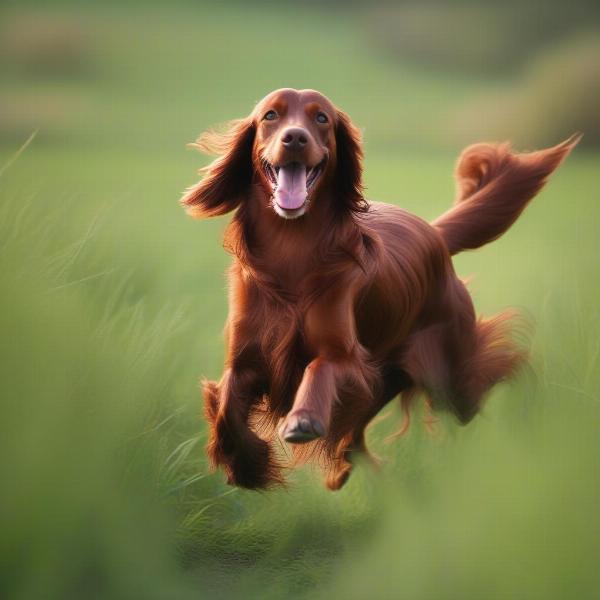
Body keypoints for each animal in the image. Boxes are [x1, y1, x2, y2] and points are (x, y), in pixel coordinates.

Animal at [180, 90, 580, 492]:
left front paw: (303, 418)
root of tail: (434, 233)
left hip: (449, 378)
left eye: (321, 118)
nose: (295, 138)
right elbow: (226, 406)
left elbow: (320, 367)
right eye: (270, 116)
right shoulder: (247, 360)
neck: (292, 249)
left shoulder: (350, 360)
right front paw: (247, 464)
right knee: (353, 442)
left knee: (496, 370)